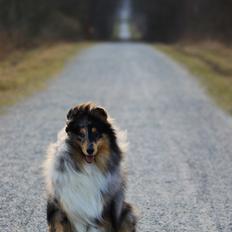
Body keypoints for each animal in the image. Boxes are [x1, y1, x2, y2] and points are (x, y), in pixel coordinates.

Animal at [43, 104, 136, 232]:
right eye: (81, 134)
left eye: (96, 133)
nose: (90, 150)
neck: (87, 167)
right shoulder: (66, 210)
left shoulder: (101, 213)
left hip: (127, 213)